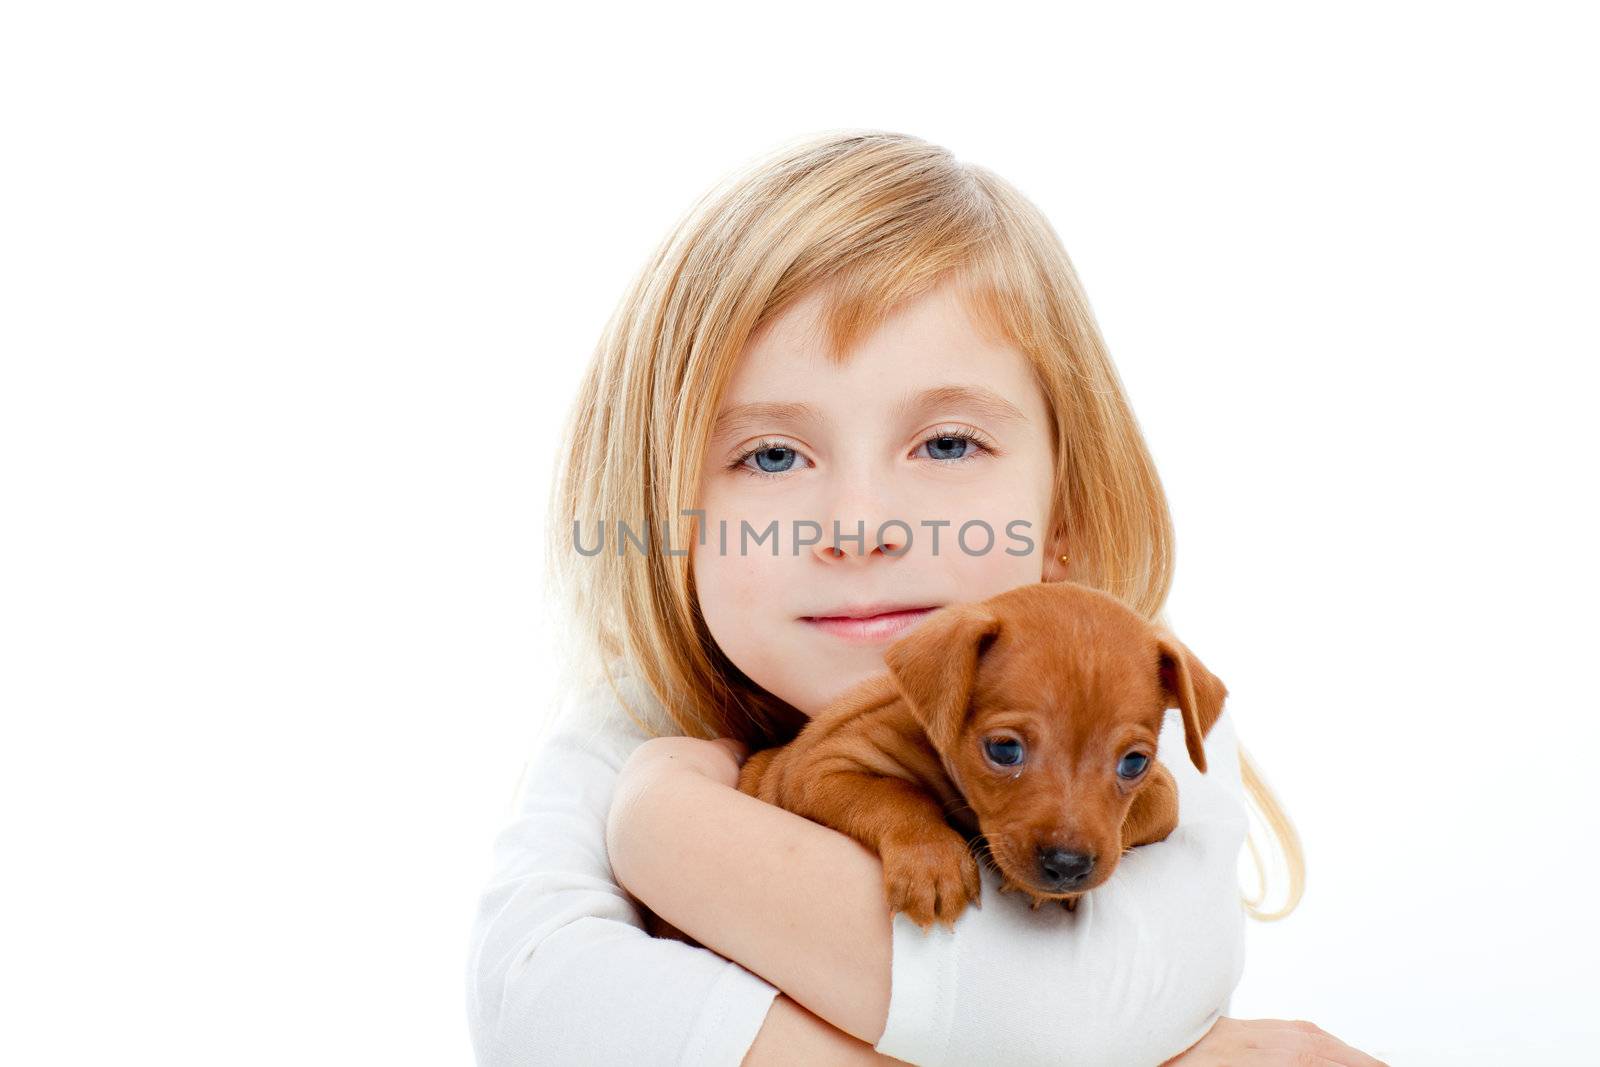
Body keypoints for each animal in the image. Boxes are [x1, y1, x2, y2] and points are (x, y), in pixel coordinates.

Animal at [643, 575, 1228, 940]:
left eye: (1133, 764)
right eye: (1004, 749)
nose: (1067, 866)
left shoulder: (1162, 790)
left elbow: (1153, 809)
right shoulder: (817, 767)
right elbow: (895, 794)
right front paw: (933, 864)